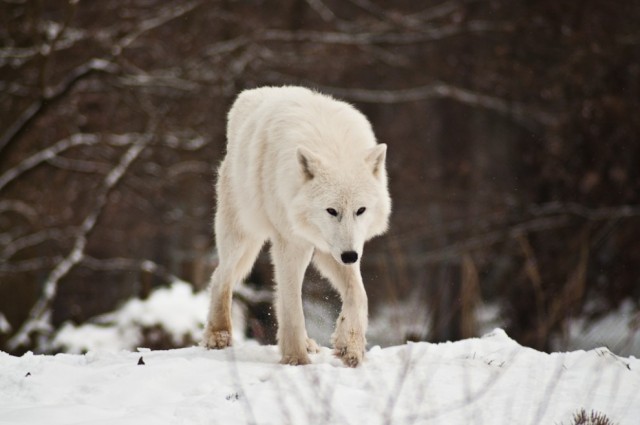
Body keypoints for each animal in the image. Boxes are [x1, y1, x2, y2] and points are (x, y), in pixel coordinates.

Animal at [201, 85, 390, 364]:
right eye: (331, 211)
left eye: (360, 210)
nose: (350, 256)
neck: (333, 146)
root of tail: (251, 94)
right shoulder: (292, 244)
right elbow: (291, 304)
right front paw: (296, 358)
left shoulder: (331, 248)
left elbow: (358, 294)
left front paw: (350, 346)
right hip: (243, 237)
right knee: (221, 277)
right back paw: (218, 334)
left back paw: (310, 343)